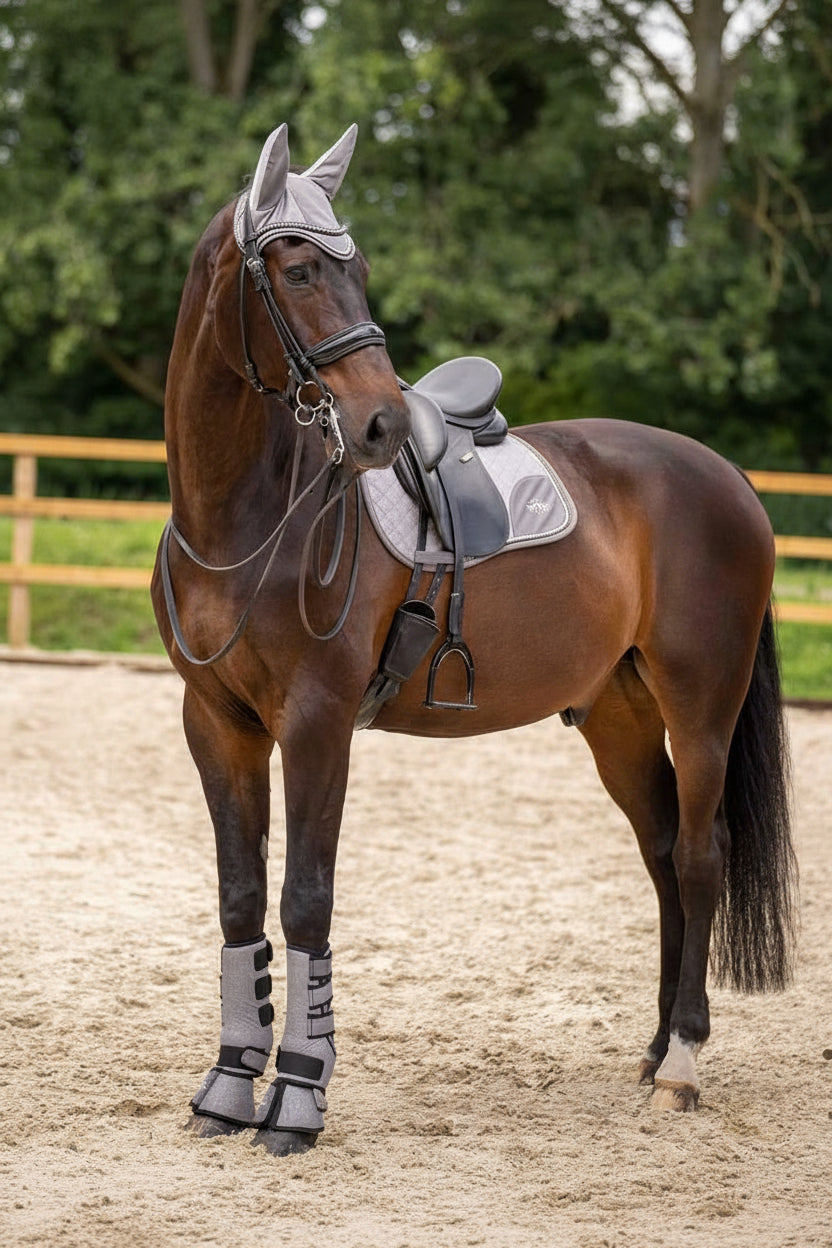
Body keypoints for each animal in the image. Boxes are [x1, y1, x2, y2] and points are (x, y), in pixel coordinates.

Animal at [151, 123, 797, 1156]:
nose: (378, 423)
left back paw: (685, 1066)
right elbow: (240, 898)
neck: (244, 521)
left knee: (702, 857)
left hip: (703, 708)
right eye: (298, 269)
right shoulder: (215, 722)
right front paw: (226, 1087)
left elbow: (305, 898)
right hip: (618, 717)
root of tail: (726, 476)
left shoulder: (317, 723)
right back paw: (656, 1049)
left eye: (359, 270)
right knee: (662, 855)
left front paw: (296, 1101)